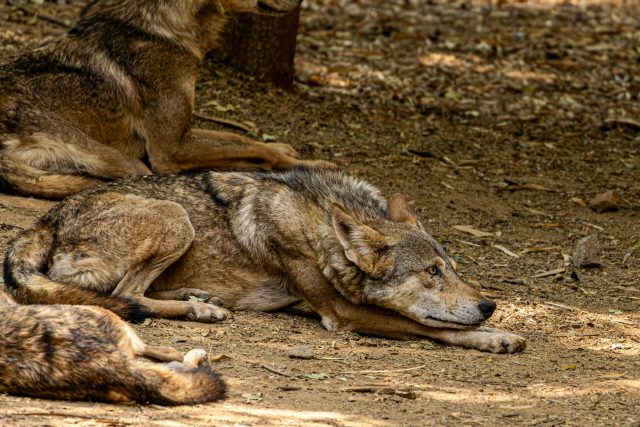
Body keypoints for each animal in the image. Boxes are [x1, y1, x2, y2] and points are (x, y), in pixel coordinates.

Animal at [0, 0, 328, 199]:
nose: (301, 2)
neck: (158, 27)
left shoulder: (182, 130)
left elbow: (240, 138)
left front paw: (285, 148)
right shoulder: (170, 150)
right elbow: (260, 151)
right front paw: (314, 164)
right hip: (134, 165)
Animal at [4, 168, 526, 353]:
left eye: (452, 268)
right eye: (431, 273)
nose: (489, 306)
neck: (321, 227)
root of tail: (49, 216)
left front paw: (495, 329)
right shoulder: (343, 314)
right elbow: (430, 327)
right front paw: (495, 337)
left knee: (137, 293)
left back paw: (203, 299)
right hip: (176, 218)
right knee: (126, 296)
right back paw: (201, 309)